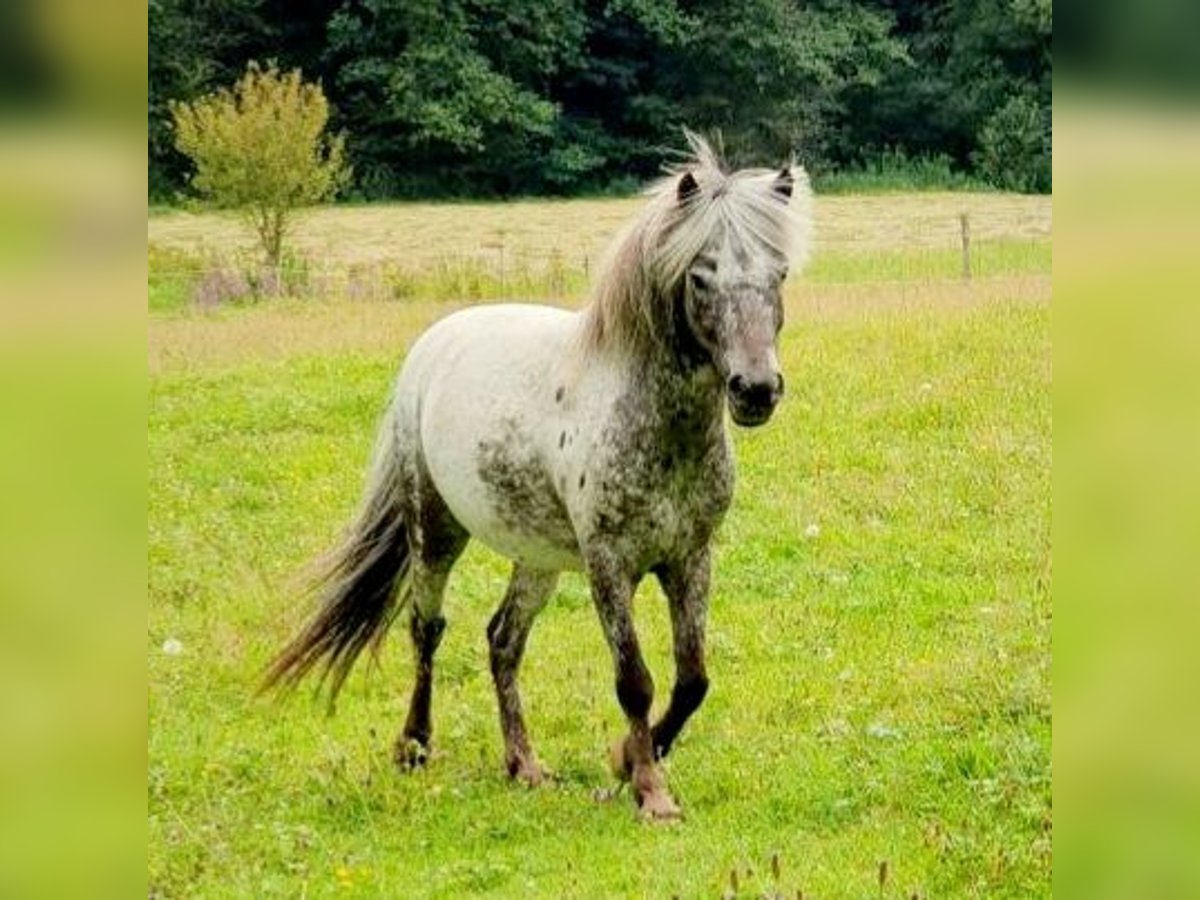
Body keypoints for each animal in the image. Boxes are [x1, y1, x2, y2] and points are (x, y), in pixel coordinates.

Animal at [266, 135, 811, 825]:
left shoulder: (691, 558)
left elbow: (692, 679)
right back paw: (414, 745)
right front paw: (651, 791)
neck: (656, 428)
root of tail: (434, 343)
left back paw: (523, 765)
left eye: (780, 274)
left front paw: (626, 762)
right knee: (426, 628)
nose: (756, 390)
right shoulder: (609, 565)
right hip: (433, 529)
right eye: (700, 275)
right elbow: (635, 680)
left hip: (538, 556)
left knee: (503, 640)